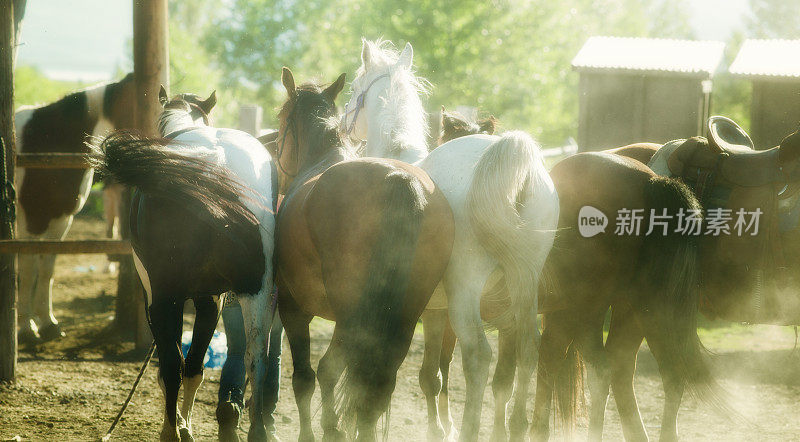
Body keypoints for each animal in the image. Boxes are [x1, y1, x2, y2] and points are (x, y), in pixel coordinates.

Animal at [14, 73, 137, 342]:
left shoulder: (61, 220)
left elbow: (46, 270)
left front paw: (48, 323)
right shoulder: (31, 220)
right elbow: (27, 270)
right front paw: (27, 328)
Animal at [90, 88, 276, 440]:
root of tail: (214, 163)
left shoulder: (157, 297)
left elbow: (172, 366)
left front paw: (179, 425)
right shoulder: (211, 299)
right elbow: (195, 366)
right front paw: (187, 424)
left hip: (165, 296)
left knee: (171, 365)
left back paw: (170, 432)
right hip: (257, 291)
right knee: (256, 357)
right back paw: (257, 429)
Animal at [268, 67, 454, 440]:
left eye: (281, 118)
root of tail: (399, 178)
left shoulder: (294, 308)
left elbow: (306, 378)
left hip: (353, 314)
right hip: (403, 315)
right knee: (376, 385)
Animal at [340, 39, 560, 440]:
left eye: (354, 89)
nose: (343, 123)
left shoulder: (431, 313)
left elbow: (430, 377)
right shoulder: (436, 312)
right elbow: (435, 376)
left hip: (466, 294)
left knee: (479, 357)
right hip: (524, 282)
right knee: (527, 349)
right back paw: (517, 426)